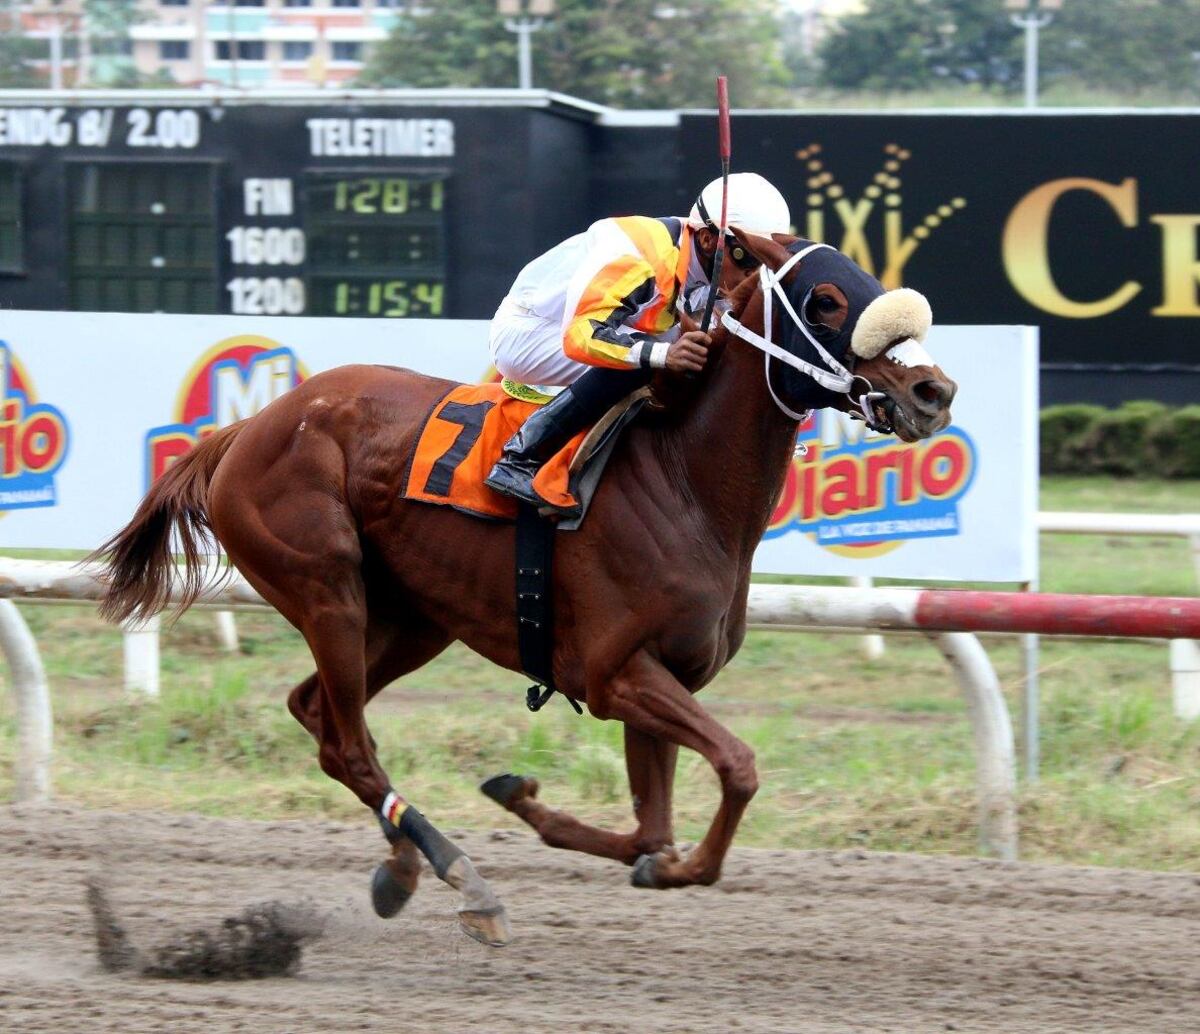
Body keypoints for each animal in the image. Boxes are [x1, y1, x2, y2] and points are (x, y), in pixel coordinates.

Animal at [95, 230, 957, 947]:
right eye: (827, 299)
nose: (933, 391)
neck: (682, 481)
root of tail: (248, 427)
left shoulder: (662, 677)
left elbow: (650, 833)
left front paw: (557, 814)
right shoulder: (616, 675)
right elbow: (739, 767)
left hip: (414, 617)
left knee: (319, 715)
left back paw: (402, 865)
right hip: (326, 587)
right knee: (349, 743)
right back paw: (462, 879)